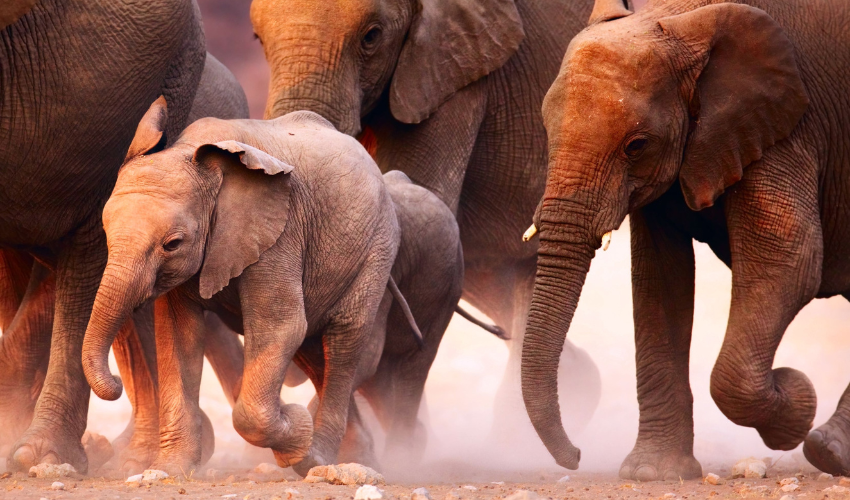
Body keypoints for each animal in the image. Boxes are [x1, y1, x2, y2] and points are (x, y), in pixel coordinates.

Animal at [81, 103, 402, 474]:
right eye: (106, 232)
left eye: (173, 244)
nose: (116, 384)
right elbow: (179, 335)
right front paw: (170, 470)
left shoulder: (279, 233)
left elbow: (279, 328)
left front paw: (296, 428)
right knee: (312, 350)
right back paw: (354, 457)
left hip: (377, 249)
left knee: (343, 340)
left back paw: (315, 458)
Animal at [520, 0, 850, 480]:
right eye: (545, 129)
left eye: (636, 145)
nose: (577, 456)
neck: (681, 16)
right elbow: (659, 281)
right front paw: (653, 474)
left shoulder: (787, 126)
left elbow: (790, 260)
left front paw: (796, 401)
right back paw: (831, 450)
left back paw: (826, 449)